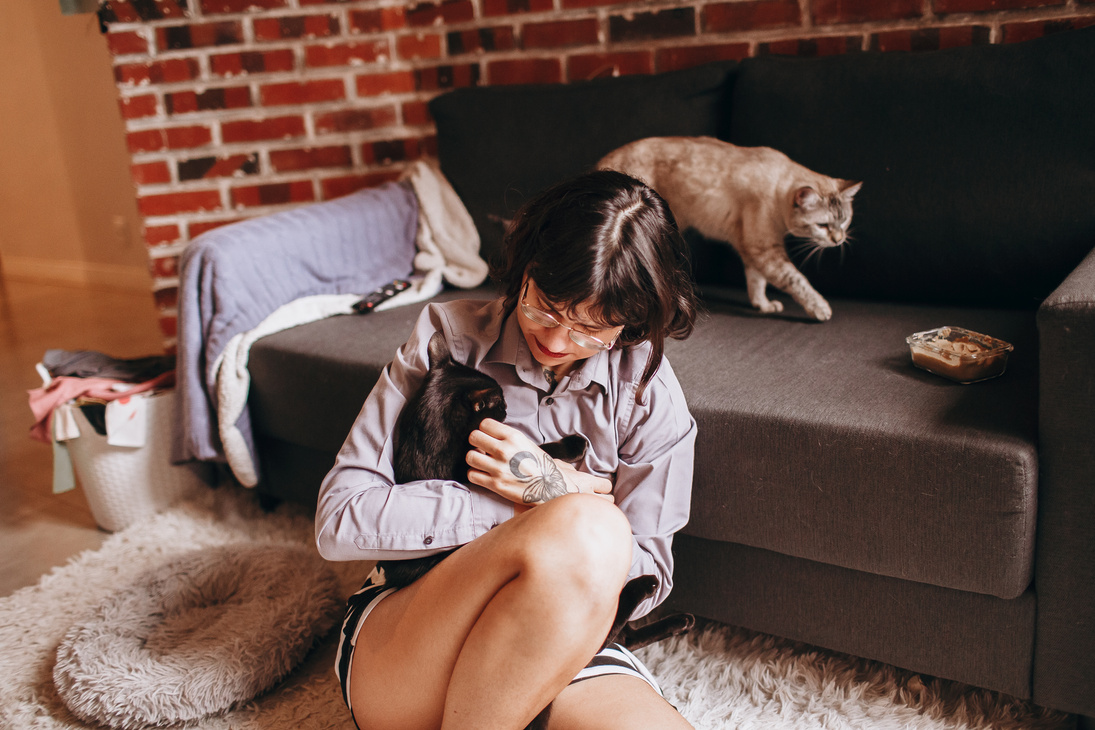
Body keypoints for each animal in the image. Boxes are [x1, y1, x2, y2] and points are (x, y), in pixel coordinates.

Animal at [604, 136, 858, 319]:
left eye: (844, 221)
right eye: (822, 225)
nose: (838, 239)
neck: (778, 188)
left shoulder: (754, 250)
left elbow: (757, 282)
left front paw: (764, 305)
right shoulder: (764, 249)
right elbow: (798, 281)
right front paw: (820, 309)